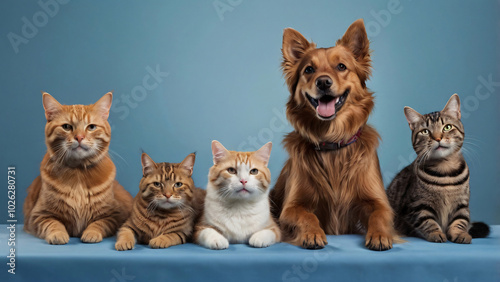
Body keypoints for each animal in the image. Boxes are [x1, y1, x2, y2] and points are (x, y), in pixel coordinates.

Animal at [23, 92, 133, 245]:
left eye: (91, 127)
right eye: (66, 127)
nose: (79, 137)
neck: (78, 172)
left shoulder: (115, 215)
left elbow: (99, 223)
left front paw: (91, 233)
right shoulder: (38, 215)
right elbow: (53, 223)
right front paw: (58, 234)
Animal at [272, 18, 396, 250]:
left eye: (341, 67)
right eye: (309, 69)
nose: (323, 82)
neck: (332, 141)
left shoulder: (378, 201)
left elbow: (379, 214)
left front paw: (379, 235)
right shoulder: (292, 206)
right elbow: (307, 215)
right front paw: (312, 234)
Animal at [386, 93, 488, 243]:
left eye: (447, 127)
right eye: (425, 131)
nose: (438, 138)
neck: (445, 170)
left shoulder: (462, 204)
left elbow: (461, 220)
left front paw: (461, 233)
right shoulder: (418, 206)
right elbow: (427, 221)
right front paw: (436, 233)